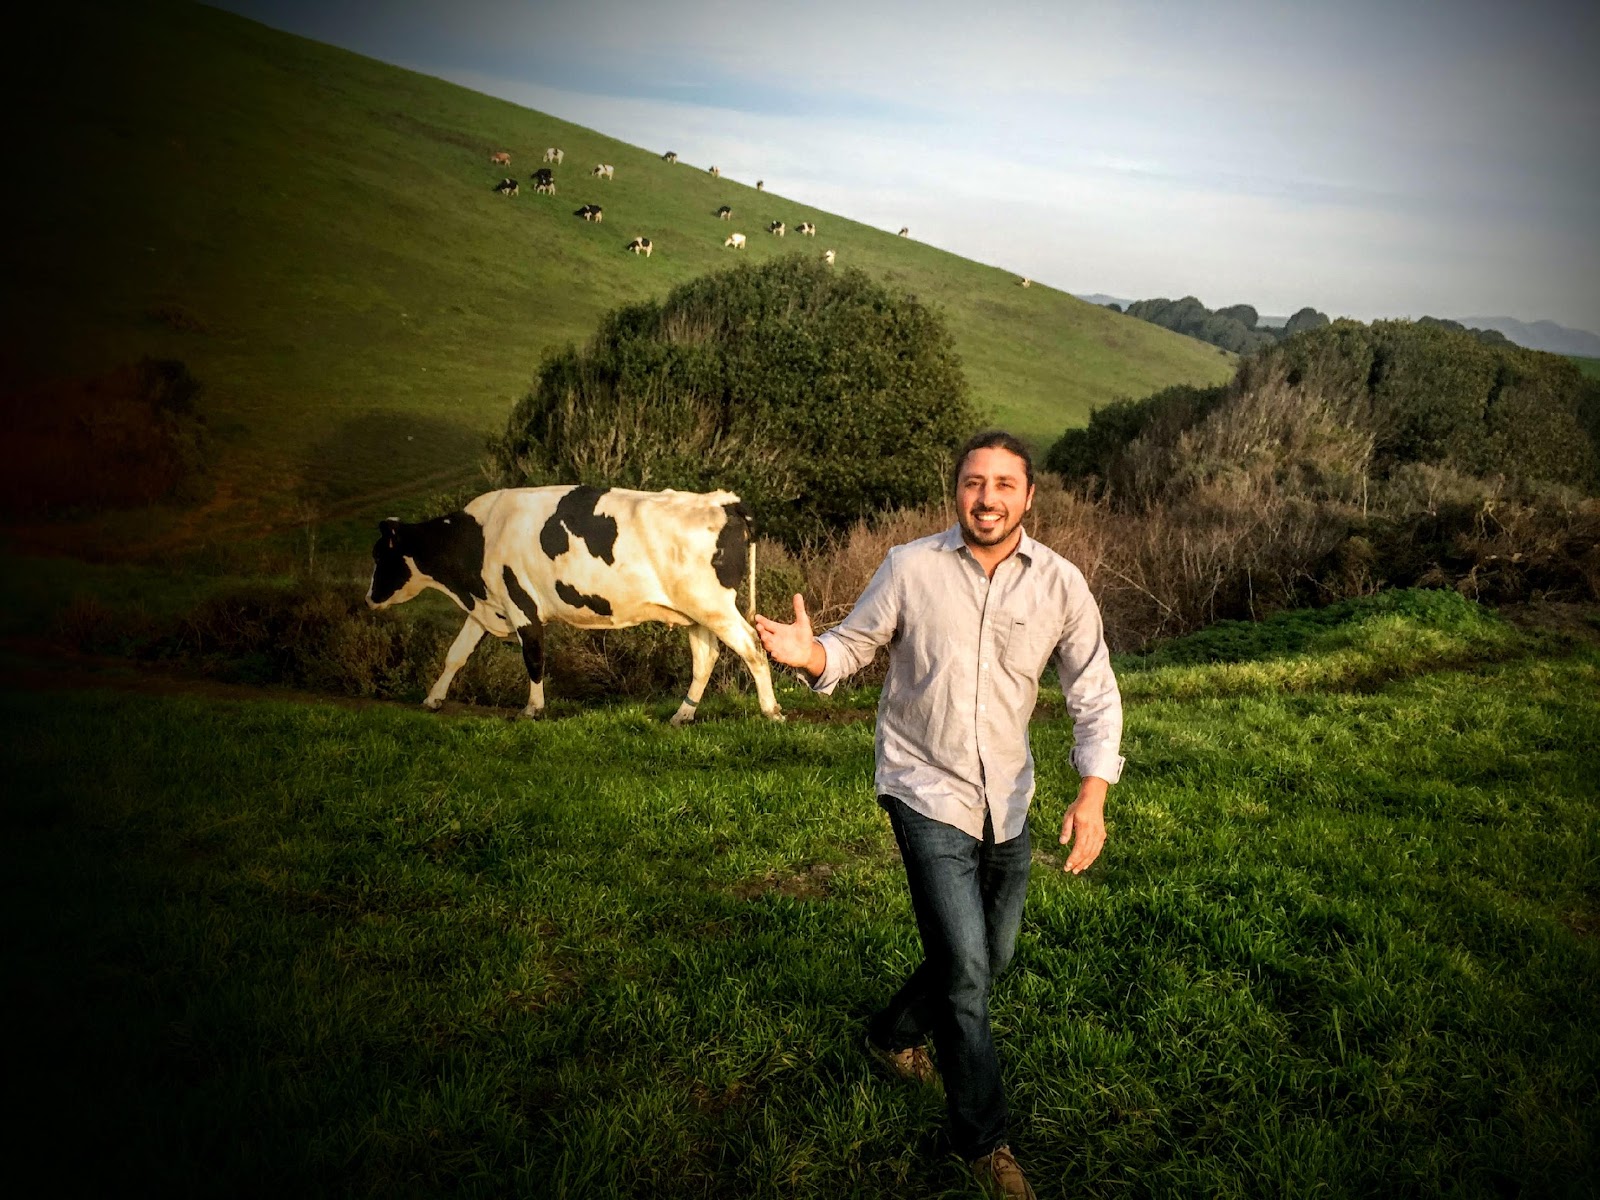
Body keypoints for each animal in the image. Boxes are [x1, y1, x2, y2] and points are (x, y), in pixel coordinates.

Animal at [368, 486, 780, 723]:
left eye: (379, 555)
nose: (370, 598)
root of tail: (724, 501)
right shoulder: (488, 606)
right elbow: (456, 654)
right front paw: (432, 699)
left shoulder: (522, 604)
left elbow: (534, 658)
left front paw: (533, 708)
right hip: (695, 611)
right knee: (705, 658)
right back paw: (683, 715)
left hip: (714, 606)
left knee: (753, 646)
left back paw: (771, 711)